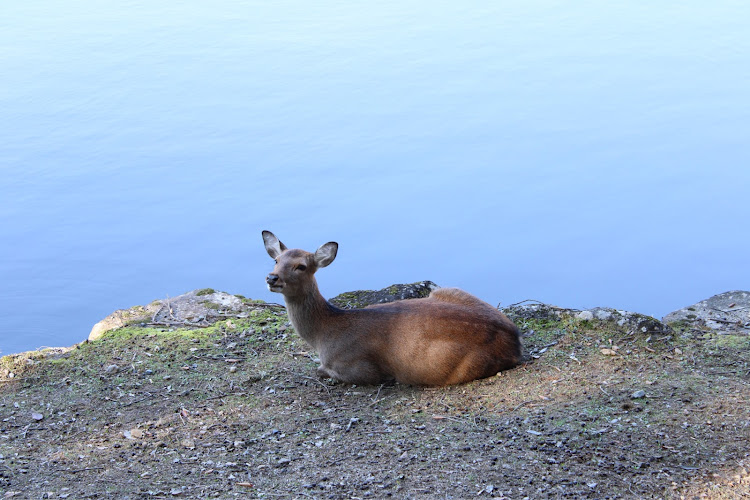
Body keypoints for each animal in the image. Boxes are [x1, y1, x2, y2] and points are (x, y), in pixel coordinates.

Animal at [262, 230, 524, 386]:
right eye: (276, 260)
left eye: (301, 266)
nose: (272, 278)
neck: (324, 334)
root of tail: (514, 341)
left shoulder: (360, 369)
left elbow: (320, 370)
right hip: (450, 291)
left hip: (458, 367)